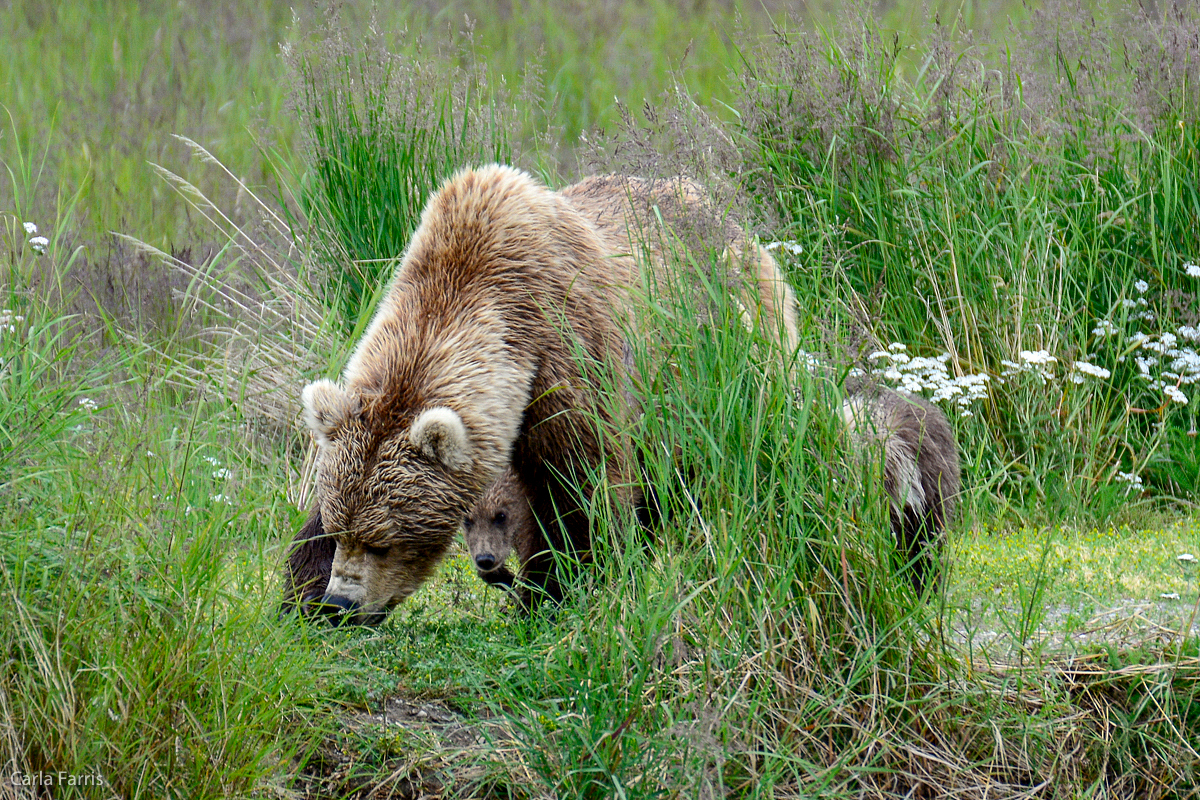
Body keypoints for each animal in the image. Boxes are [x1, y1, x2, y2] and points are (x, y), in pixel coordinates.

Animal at [279, 164, 796, 623]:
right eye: (343, 530)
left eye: (385, 542)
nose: (342, 603)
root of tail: (730, 220)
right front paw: (301, 598)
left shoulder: (568, 360)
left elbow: (580, 492)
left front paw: (557, 590)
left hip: (721, 361)